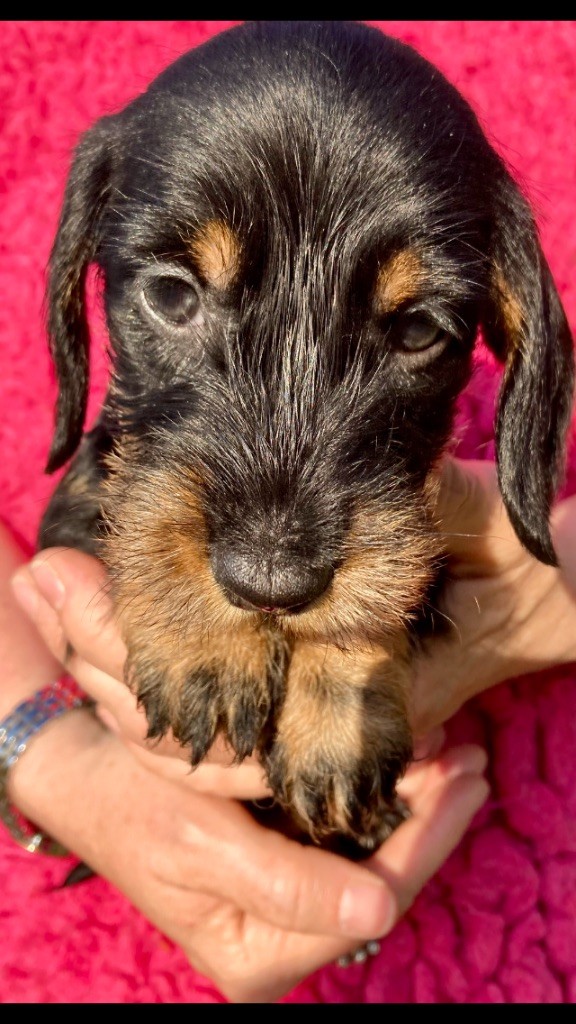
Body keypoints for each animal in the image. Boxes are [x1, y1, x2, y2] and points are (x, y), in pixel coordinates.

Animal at [39, 20, 575, 859]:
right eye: (171, 295)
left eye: (418, 330)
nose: (269, 584)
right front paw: (206, 645)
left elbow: (393, 579)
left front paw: (336, 712)